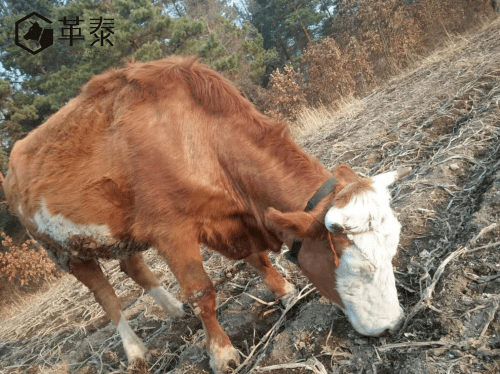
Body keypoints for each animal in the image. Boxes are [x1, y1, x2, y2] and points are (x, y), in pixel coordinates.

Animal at [3, 57, 408, 372]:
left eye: (392, 252)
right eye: (359, 268)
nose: (393, 326)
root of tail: (16, 155)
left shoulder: (229, 221)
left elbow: (258, 259)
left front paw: (287, 294)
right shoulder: (170, 230)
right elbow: (202, 292)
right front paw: (222, 353)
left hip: (118, 233)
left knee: (132, 266)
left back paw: (172, 310)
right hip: (64, 251)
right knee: (107, 298)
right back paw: (135, 352)